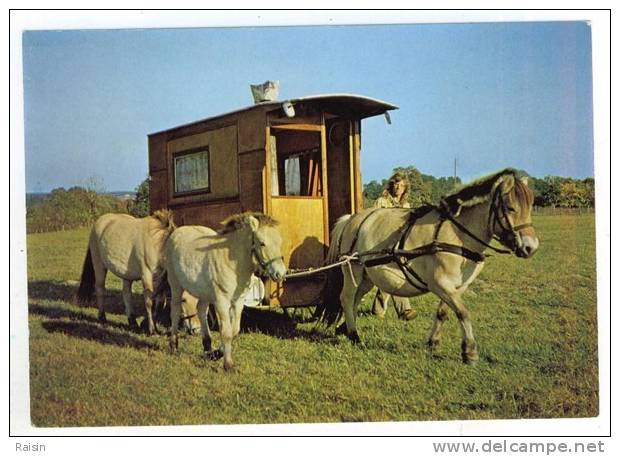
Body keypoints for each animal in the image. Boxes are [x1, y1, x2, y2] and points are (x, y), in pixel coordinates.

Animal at [163, 213, 286, 370]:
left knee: (201, 310)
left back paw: (208, 348)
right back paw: (174, 346)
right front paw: (228, 364)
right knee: (175, 311)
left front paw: (218, 353)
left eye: (280, 242)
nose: (280, 273)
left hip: (204, 293)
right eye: (262, 243)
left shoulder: (238, 302)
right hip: (176, 284)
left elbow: (234, 330)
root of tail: (176, 232)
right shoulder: (222, 302)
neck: (233, 264)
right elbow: (226, 332)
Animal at [320, 167, 536, 364]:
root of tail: (351, 219)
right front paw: (470, 351)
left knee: (355, 300)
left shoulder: (458, 286)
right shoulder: (440, 284)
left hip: (367, 277)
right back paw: (355, 336)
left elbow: (443, 312)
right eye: (510, 208)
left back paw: (344, 329)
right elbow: (463, 312)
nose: (530, 247)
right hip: (353, 271)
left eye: (531, 206)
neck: (457, 235)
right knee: (347, 298)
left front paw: (434, 343)